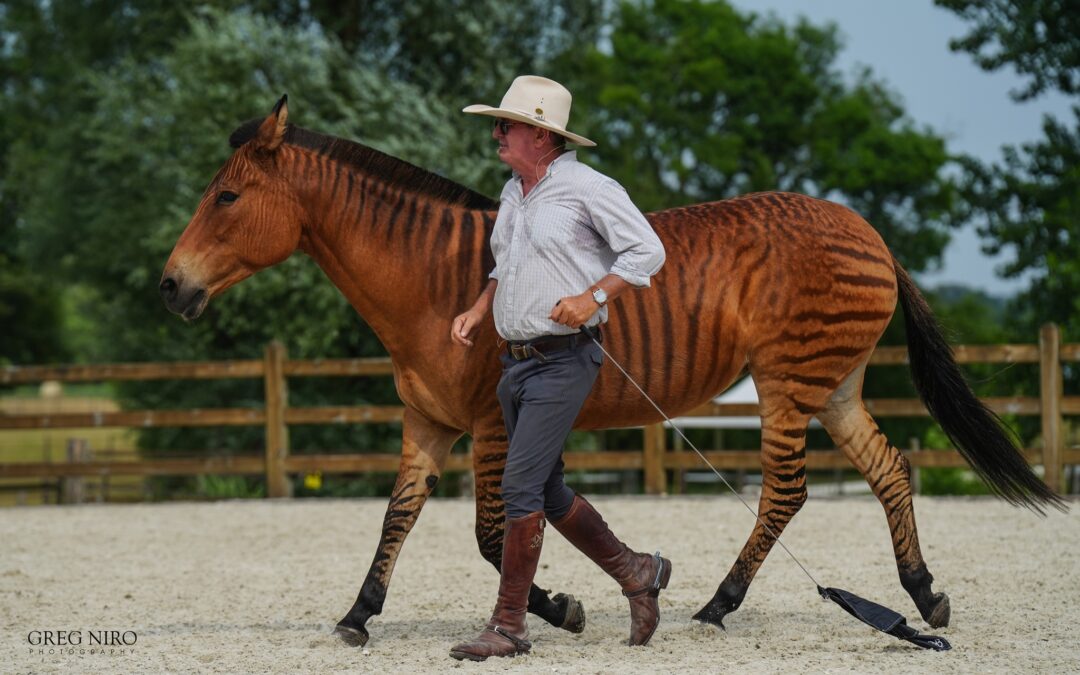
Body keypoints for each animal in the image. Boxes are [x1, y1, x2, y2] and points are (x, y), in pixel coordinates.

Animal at [159, 97, 1062, 643]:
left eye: (227, 198)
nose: (168, 286)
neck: (432, 278)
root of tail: (866, 229)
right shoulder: (429, 425)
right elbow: (397, 519)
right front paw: (359, 611)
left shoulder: (491, 428)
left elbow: (495, 534)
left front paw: (558, 607)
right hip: (832, 386)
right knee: (890, 471)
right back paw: (923, 594)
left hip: (786, 384)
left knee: (786, 492)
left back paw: (720, 603)